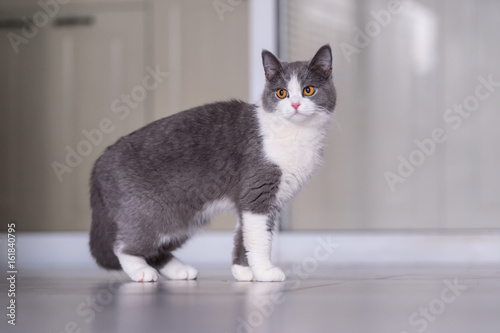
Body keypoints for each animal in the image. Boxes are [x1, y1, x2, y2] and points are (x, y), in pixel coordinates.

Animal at [91, 45, 336, 282]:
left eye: (308, 90)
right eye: (281, 93)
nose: (295, 104)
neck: (297, 133)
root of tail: (101, 161)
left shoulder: (261, 200)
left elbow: (244, 234)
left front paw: (242, 271)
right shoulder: (257, 191)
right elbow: (259, 238)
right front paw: (265, 272)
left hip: (185, 218)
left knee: (156, 248)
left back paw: (180, 271)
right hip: (152, 211)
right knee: (123, 246)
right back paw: (140, 271)